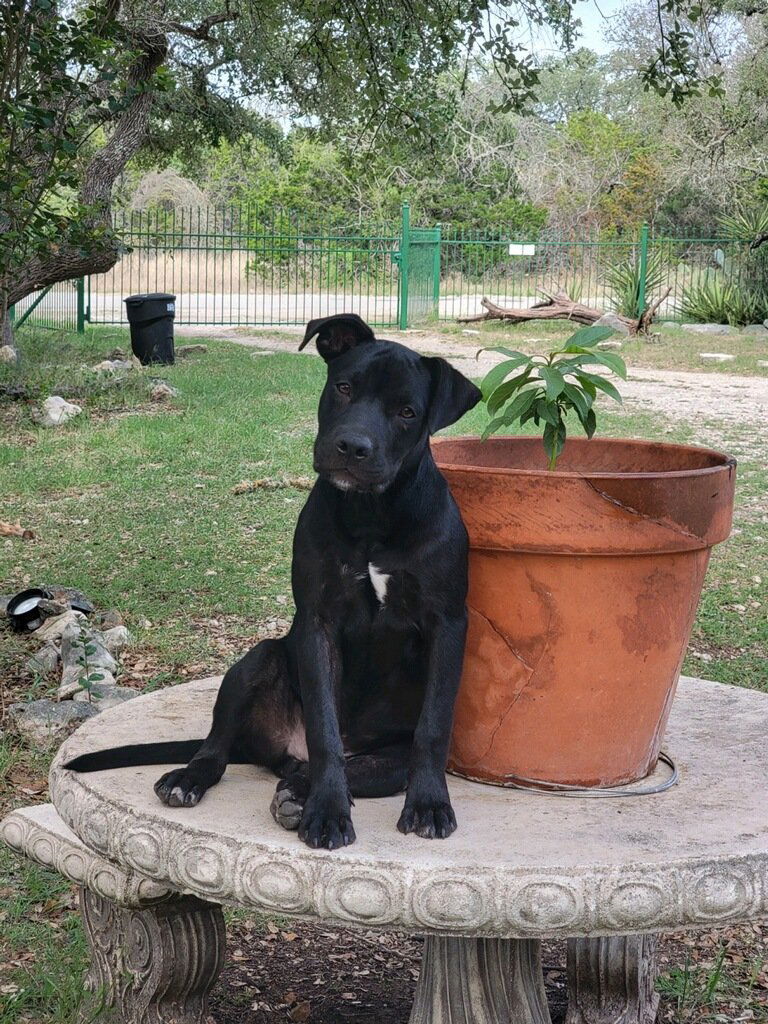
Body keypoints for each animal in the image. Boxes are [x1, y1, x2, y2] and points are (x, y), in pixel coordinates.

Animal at [70, 313, 481, 856]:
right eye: (343, 387)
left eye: (408, 412)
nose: (352, 446)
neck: (372, 515)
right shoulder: (316, 623)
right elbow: (325, 731)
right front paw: (327, 811)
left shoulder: (446, 624)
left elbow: (432, 728)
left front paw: (430, 805)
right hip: (258, 661)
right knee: (221, 745)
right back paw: (195, 777)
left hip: (387, 757)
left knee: (363, 767)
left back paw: (297, 792)